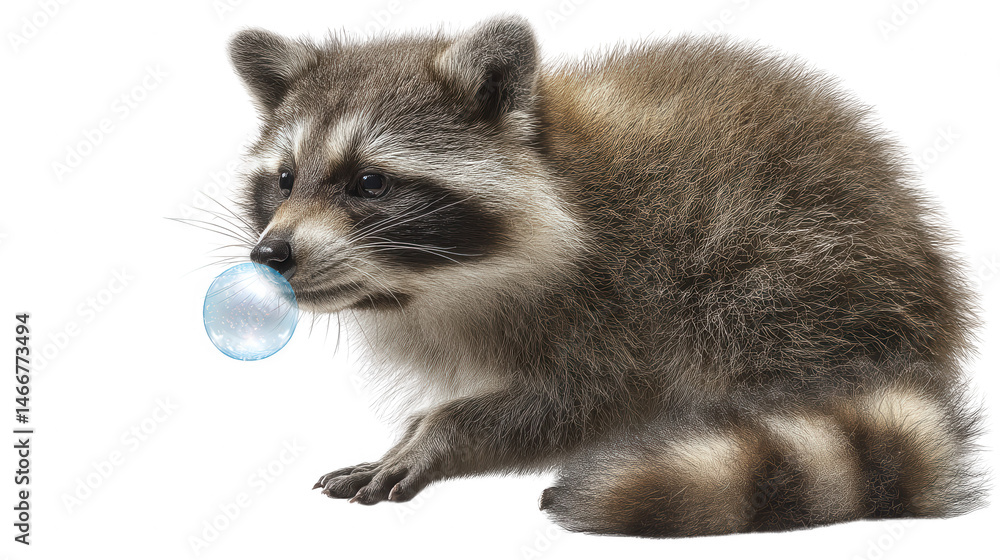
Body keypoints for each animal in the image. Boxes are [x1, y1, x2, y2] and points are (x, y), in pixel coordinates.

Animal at [225, 15, 985, 537]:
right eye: (285, 180)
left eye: (370, 183)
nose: (271, 254)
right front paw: (418, 426)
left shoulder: (619, 291)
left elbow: (589, 399)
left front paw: (448, 429)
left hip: (792, 267)